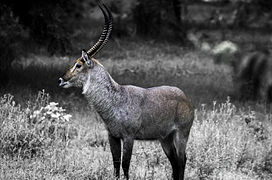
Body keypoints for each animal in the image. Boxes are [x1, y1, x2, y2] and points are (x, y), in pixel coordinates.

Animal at [58, 2, 193, 179]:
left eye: (78, 65)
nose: (61, 79)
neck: (116, 98)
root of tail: (185, 97)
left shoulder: (129, 137)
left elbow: (125, 165)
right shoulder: (113, 136)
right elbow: (115, 164)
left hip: (181, 135)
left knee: (182, 160)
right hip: (165, 139)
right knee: (175, 163)